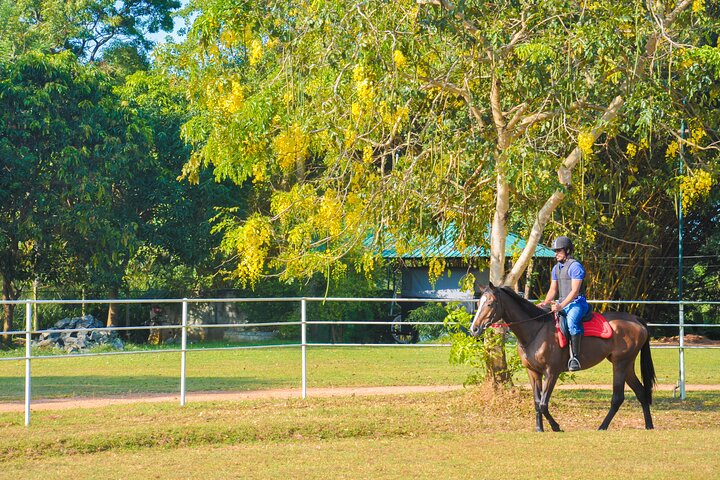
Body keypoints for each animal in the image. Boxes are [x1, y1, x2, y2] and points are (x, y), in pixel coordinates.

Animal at [470, 284, 656, 434]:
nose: (474, 329)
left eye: (490, 303)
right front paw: (539, 428)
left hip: (620, 364)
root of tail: (636, 319)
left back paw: (602, 426)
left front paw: (556, 427)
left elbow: (544, 404)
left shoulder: (551, 372)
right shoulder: (533, 372)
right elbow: (537, 402)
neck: (536, 331)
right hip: (627, 365)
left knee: (618, 398)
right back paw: (649, 425)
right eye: (479, 304)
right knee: (641, 392)